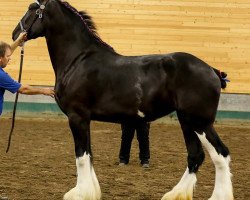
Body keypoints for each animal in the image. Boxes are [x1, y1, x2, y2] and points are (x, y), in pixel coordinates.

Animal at [12, 0, 233, 199]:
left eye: (32, 8)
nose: (15, 34)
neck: (78, 60)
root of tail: (212, 70)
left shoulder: (77, 117)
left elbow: (81, 157)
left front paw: (79, 193)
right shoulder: (85, 119)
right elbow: (89, 155)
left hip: (200, 123)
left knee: (220, 154)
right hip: (186, 121)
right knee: (195, 155)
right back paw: (175, 194)